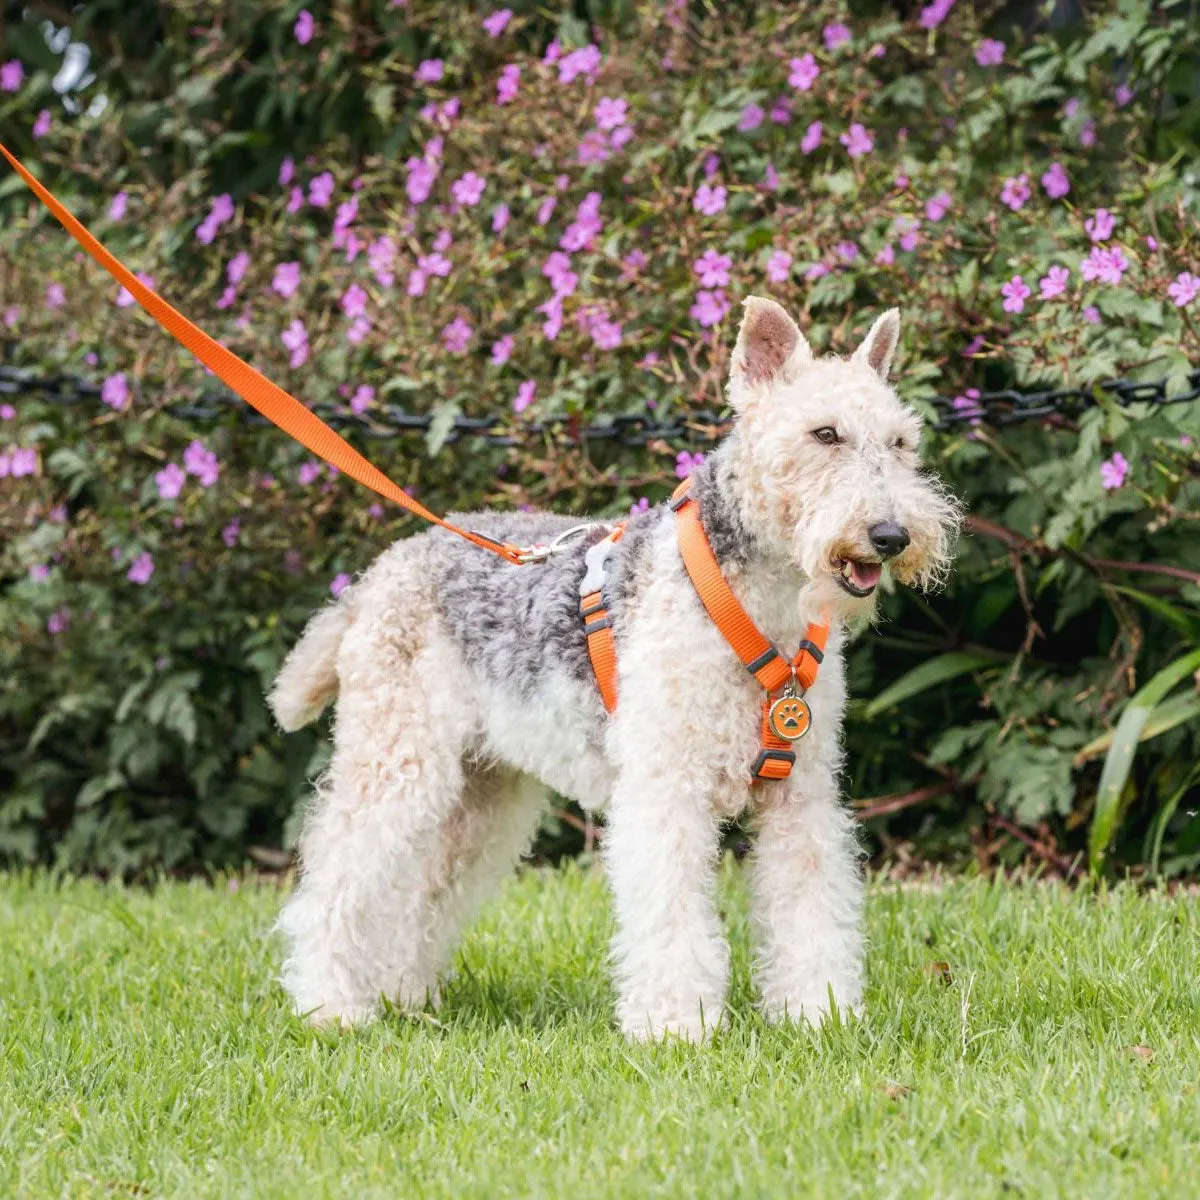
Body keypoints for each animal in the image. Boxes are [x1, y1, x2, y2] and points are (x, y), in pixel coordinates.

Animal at [270, 300, 955, 1041]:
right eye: (824, 433)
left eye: (900, 442)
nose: (891, 535)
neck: (756, 602)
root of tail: (382, 570)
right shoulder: (667, 787)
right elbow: (673, 914)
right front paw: (675, 1025)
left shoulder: (801, 798)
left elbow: (810, 908)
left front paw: (818, 1014)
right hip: (398, 761)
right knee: (334, 884)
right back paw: (331, 1006)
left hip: (481, 794)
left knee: (421, 893)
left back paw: (403, 995)